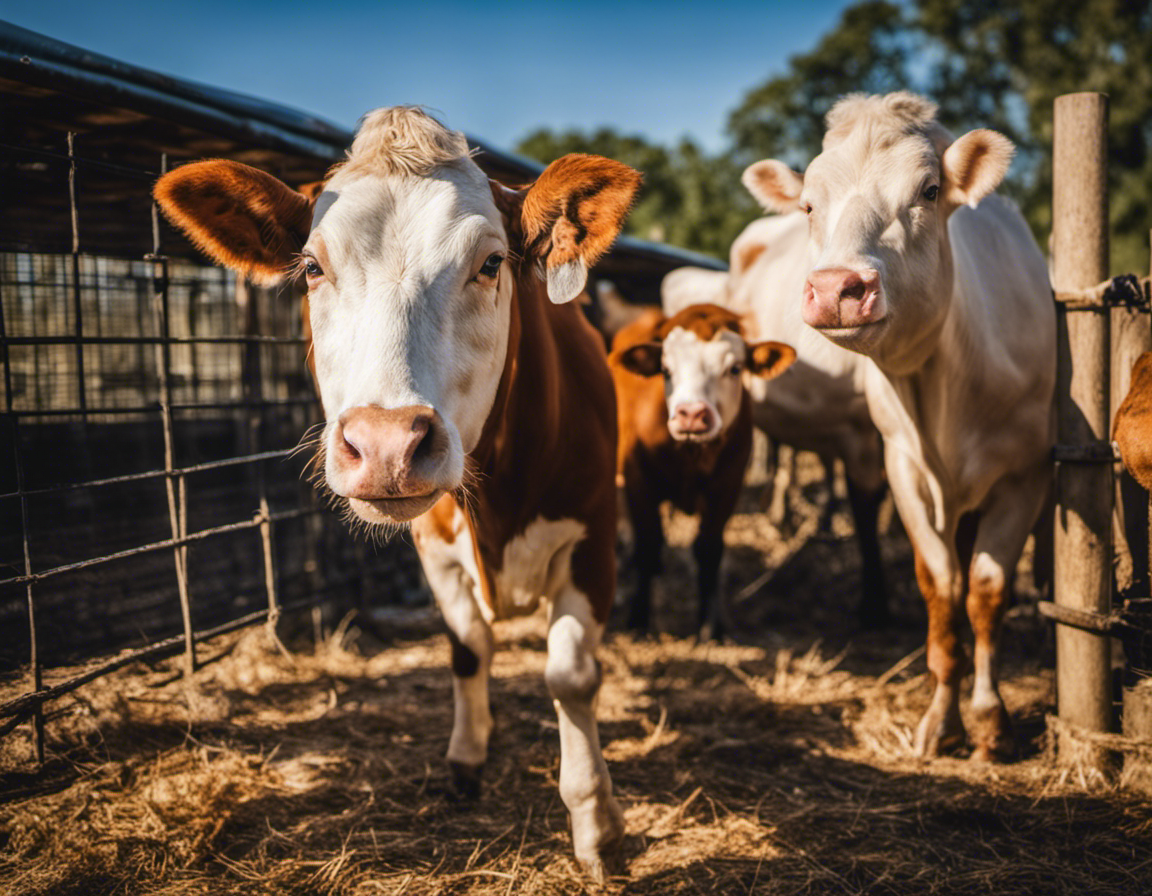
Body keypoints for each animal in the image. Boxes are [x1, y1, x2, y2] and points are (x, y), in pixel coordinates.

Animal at [153, 106, 641, 878]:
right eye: (313, 267)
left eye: (491, 263)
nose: (385, 445)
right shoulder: (435, 550)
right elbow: (467, 648)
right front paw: (467, 758)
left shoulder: (591, 536)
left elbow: (571, 676)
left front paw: (596, 826)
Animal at [609, 304, 795, 640]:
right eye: (665, 370)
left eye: (734, 369)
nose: (692, 414)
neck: (691, 455)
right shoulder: (638, 481)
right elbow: (647, 545)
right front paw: (639, 618)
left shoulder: (727, 487)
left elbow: (709, 550)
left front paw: (711, 625)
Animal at [749, 92, 1055, 761]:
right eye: (808, 204)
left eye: (930, 191)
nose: (836, 287)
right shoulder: (903, 469)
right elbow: (941, 589)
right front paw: (942, 718)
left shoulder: (1024, 476)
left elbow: (985, 590)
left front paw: (989, 718)